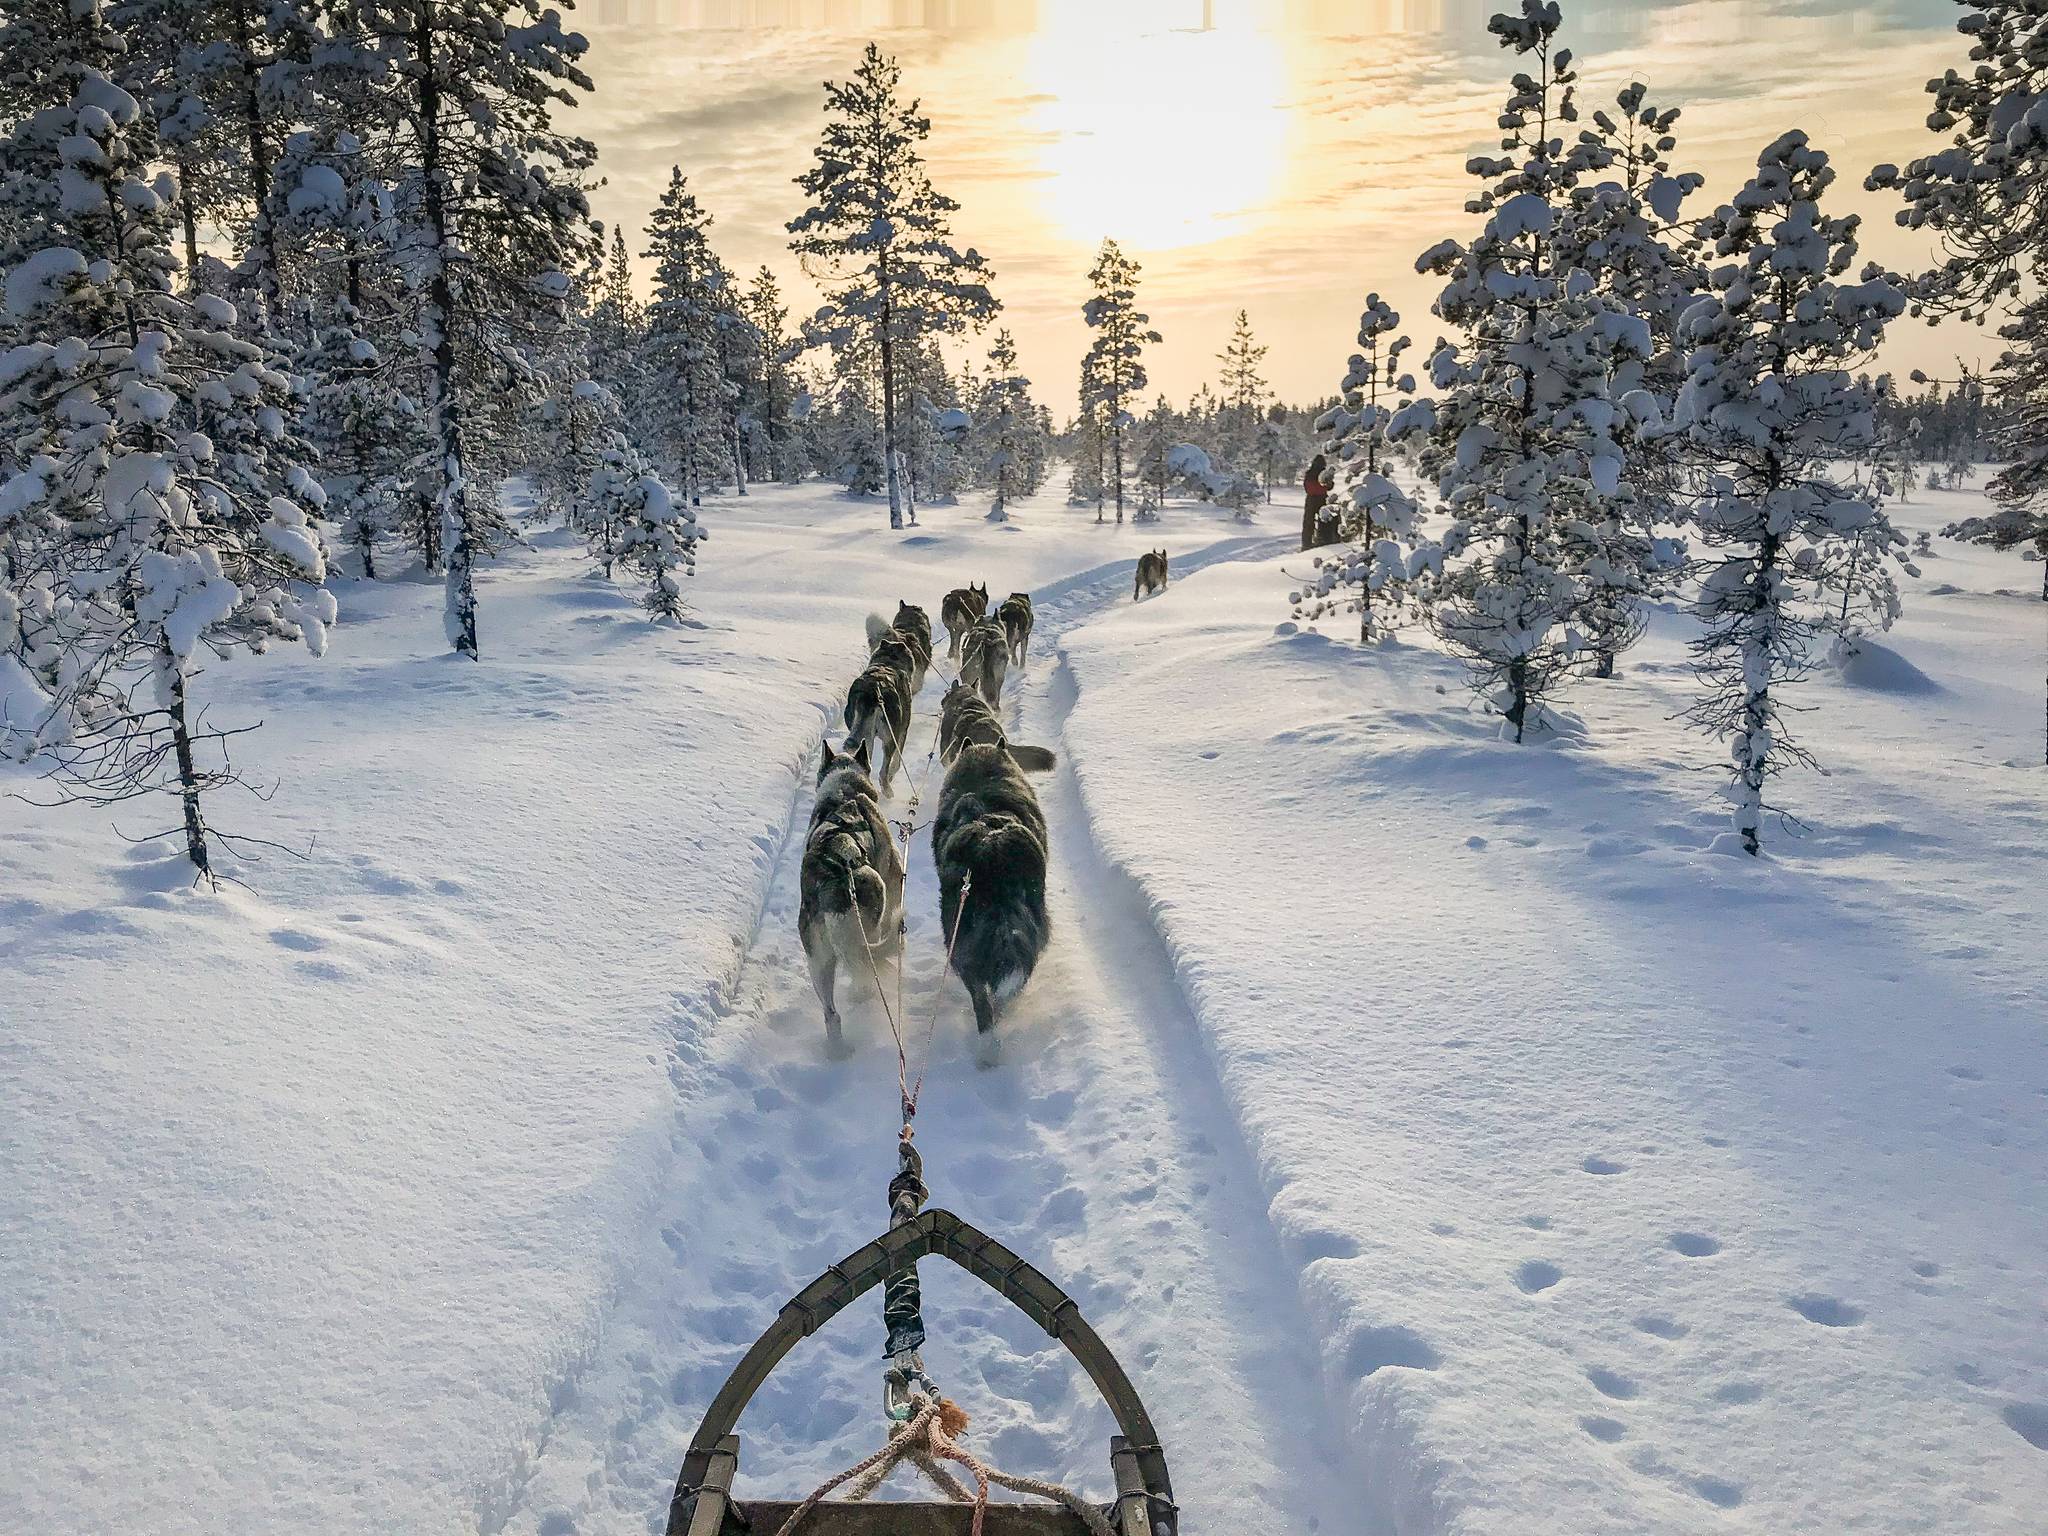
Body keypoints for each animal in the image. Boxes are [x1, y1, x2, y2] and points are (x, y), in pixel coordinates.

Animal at [798, 745, 905, 1056]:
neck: (845, 792)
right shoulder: (894, 877)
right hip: (874, 899)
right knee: (865, 971)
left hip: (818, 961)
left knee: (831, 1014)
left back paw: (837, 1051)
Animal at [847, 659, 913, 794]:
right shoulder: (902, 732)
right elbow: (896, 762)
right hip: (890, 738)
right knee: (883, 772)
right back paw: (887, 790)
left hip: (865, 738)